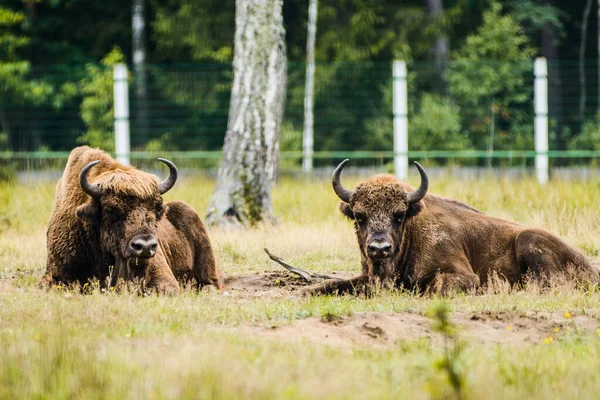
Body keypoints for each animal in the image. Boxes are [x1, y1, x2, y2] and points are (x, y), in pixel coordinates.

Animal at [290, 160, 596, 296]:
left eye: (399, 215)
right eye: (359, 215)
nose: (379, 248)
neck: (413, 232)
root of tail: (593, 269)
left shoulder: (462, 275)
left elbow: (435, 288)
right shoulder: (366, 277)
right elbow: (331, 284)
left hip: (530, 239)